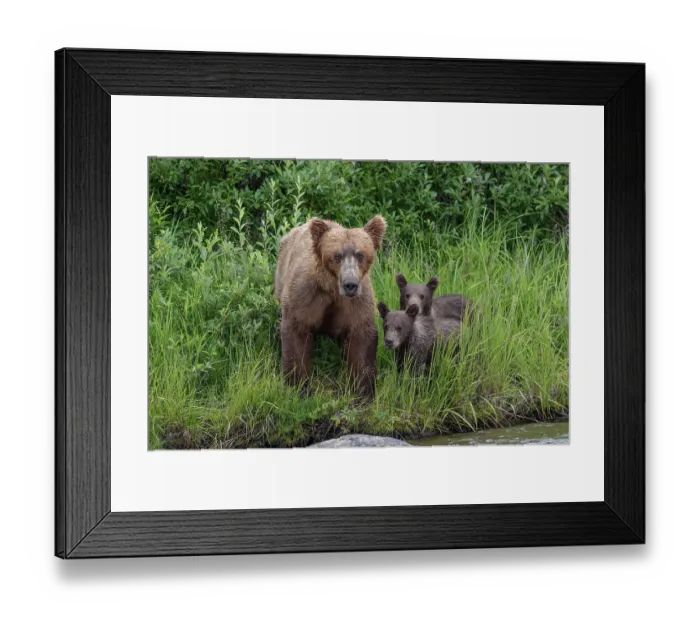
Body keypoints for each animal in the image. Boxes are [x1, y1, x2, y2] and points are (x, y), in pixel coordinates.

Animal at [274, 215, 387, 398]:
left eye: (360, 254)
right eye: (337, 255)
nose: (350, 284)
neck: (332, 289)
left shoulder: (357, 301)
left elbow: (362, 336)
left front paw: (363, 390)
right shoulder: (306, 295)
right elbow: (297, 331)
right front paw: (299, 386)